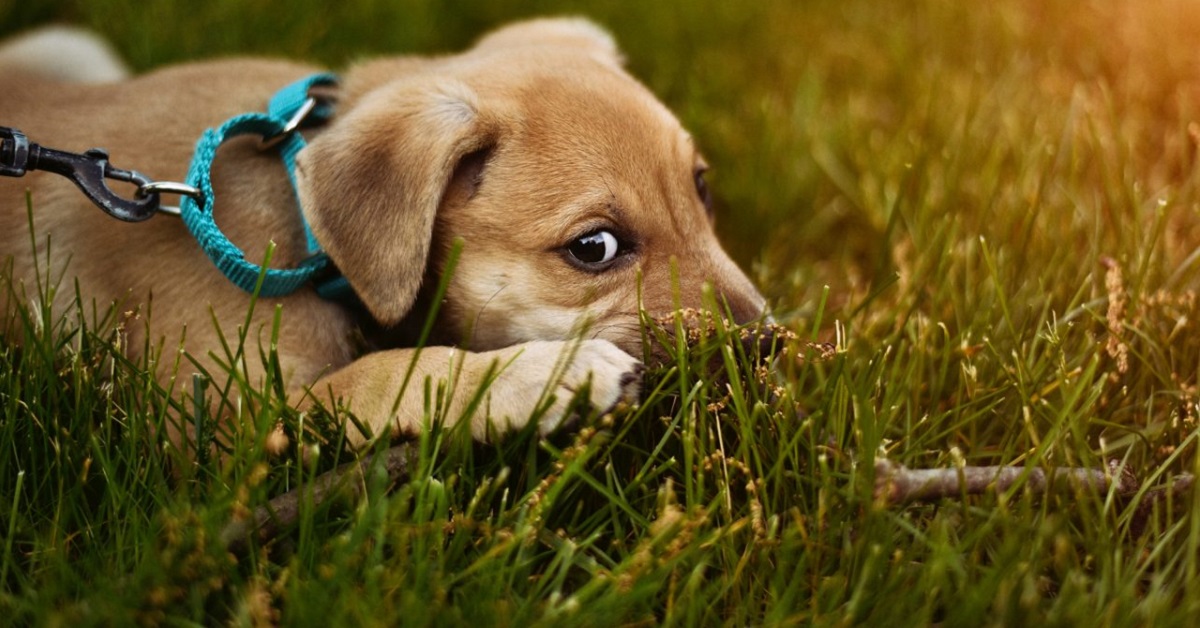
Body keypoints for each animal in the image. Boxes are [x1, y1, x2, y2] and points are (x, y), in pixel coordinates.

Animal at [0, 19, 768, 449]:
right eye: (595, 248)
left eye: (701, 187)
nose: (764, 346)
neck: (305, 232)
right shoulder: (220, 424)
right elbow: (386, 373)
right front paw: (544, 375)